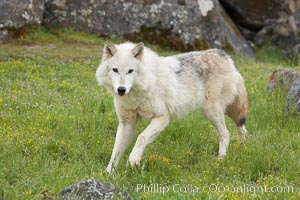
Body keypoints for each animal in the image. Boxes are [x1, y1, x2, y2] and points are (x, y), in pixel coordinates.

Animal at [96, 41, 248, 173]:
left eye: (130, 71)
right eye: (115, 70)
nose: (121, 89)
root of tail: (225, 55)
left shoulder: (162, 118)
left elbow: (141, 137)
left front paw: (133, 159)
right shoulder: (127, 123)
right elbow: (116, 151)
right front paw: (108, 173)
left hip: (212, 112)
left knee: (226, 133)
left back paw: (220, 159)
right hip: (225, 111)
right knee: (242, 128)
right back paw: (241, 148)